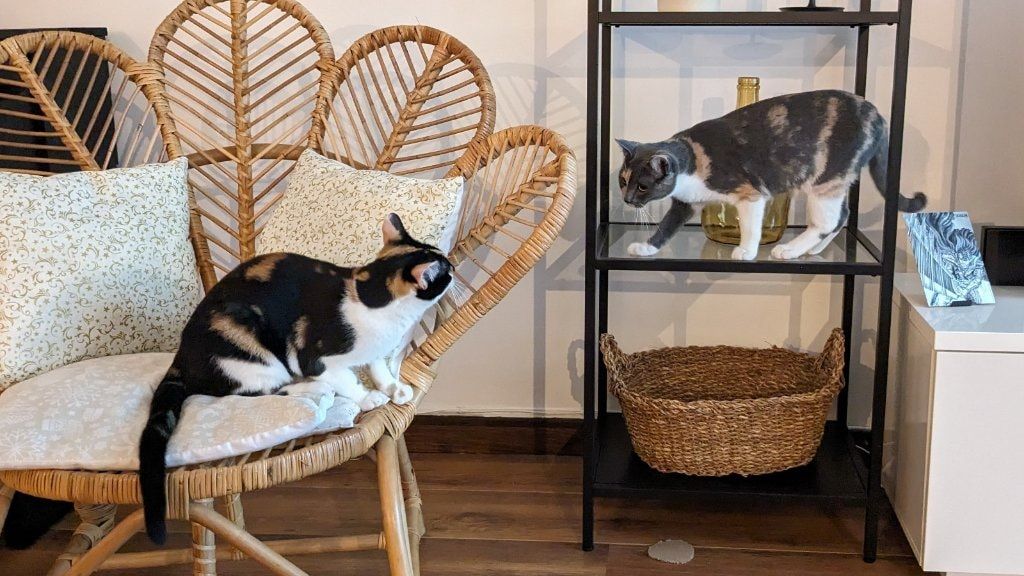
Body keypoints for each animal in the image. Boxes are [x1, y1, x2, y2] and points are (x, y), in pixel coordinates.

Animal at [139, 213, 453, 544]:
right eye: (444, 272)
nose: (454, 268)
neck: (371, 302)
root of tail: (181, 358)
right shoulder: (315, 356)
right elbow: (347, 379)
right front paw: (367, 397)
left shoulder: (376, 351)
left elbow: (379, 366)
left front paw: (393, 387)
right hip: (252, 355)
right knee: (254, 391)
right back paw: (314, 389)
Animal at [615, 89, 927, 260]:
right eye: (623, 180)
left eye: (642, 186)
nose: (627, 199)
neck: (691, 160)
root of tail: (878, 116)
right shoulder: (685, 203)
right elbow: (667, 227)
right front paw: (647, 247)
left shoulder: (750, 194)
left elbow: (750, 226)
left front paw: (746, 251)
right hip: (836, 180)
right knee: (843, 215)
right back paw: (813, 250)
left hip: (825, 177)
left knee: (827, 220)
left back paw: (790, 250)